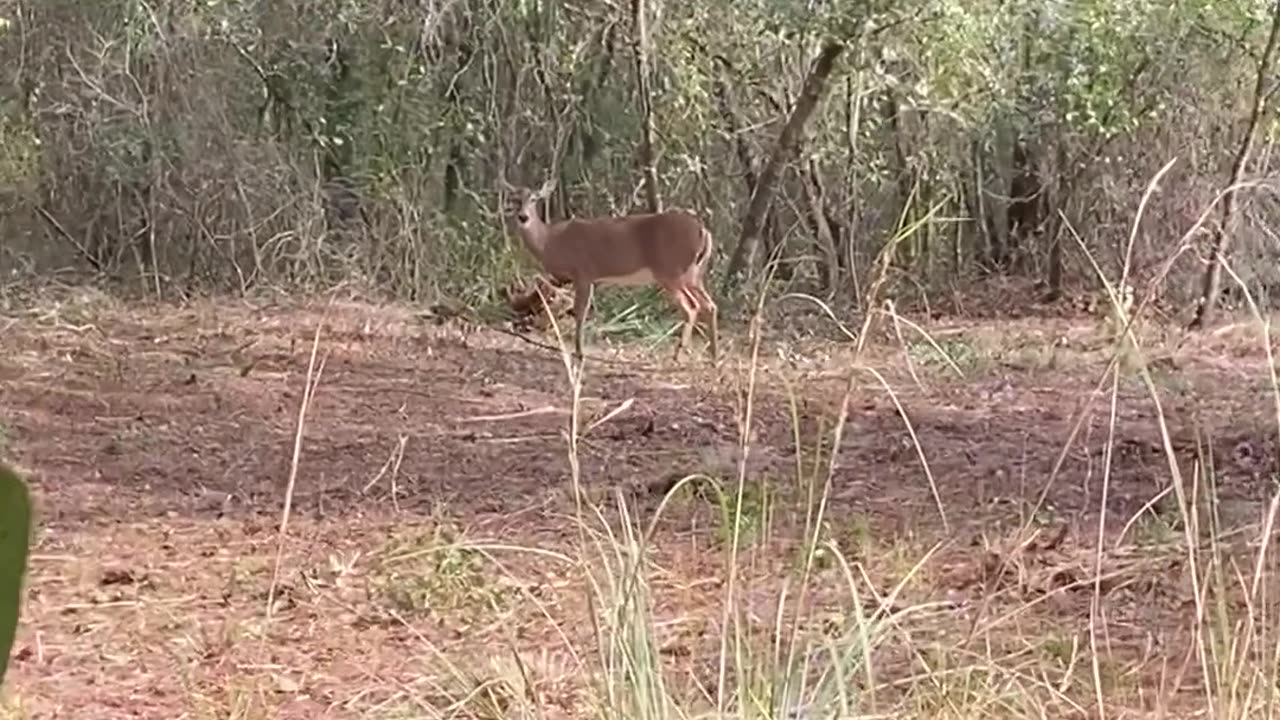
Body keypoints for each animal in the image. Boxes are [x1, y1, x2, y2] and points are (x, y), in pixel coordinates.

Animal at [501, 175, 721, 358]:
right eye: (514, 199)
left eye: (534, 199)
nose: (523, 217)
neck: (551, 242)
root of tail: (704, 231)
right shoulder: (587, 277)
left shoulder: (583, 272)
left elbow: (580, 312)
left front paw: (579, 352)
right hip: (694, 273)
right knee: (709, 305)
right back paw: (713, 357)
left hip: (671, 271)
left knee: (691, 307)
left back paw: (679, 354)